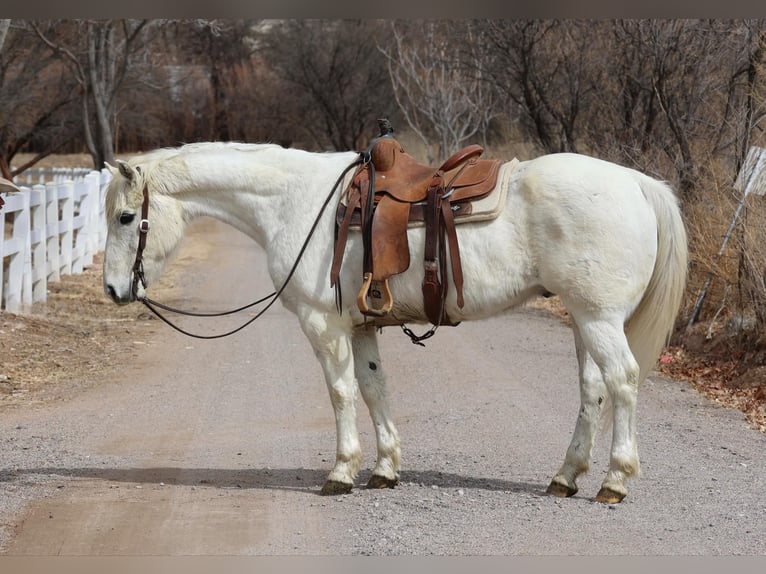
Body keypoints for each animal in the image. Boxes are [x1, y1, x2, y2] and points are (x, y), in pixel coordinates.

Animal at [102, 141, 687, 503]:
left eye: (127, 217)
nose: (112, 290)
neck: (298, 203)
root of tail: (637, 184)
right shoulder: (362, 328)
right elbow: (373, 388)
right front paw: (384, 469)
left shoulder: (324, 327)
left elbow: (340, 393)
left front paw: (342, 471)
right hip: (586, 320)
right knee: (593, 390)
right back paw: (565, 477)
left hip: (599, 319)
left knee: (623, 382)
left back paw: (615, 481)